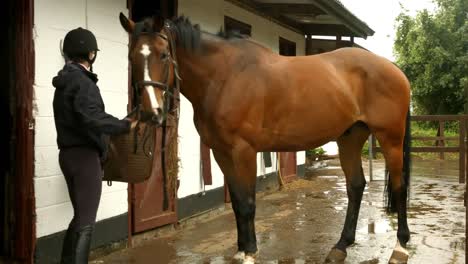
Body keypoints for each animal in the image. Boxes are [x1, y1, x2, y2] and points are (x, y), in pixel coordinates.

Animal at [119, 13, 412, 262]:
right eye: (131, 57)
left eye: (164, 55)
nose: (151, 112)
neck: (225, 76)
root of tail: (392, 67)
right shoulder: (221, 152)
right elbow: (237, 202)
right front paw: (240, 250)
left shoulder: (244, 151)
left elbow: (248, 202)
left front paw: (250, 252)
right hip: (349, 138)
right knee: (355, 186)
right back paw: (340, 246)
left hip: (390, 139)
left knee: (399, 187)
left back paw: (400, 246)